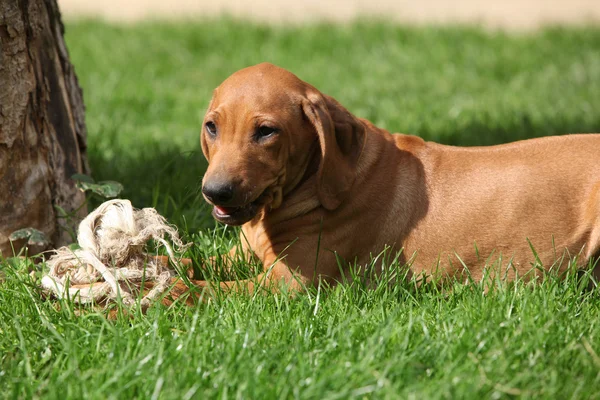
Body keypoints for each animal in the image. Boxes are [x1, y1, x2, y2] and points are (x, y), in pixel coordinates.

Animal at [169, 62, 600, 298]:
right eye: (211, 127)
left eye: (266, 132)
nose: (215, 192)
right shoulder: (240, 255)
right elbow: (189, 261)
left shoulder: (290, 284)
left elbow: (204, 289)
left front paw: (158, 295)